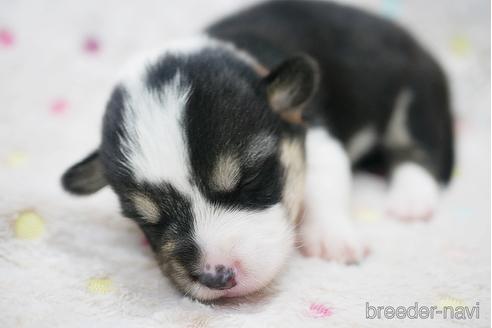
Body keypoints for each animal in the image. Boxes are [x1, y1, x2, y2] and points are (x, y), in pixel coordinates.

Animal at [61, 0, 454, 302]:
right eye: (147, 221)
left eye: (248, 180)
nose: (217, 277)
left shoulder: (313, 132)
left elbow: (324, 182)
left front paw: (330, 239)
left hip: (415, 94)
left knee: (419, 149)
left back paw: (411, 200)